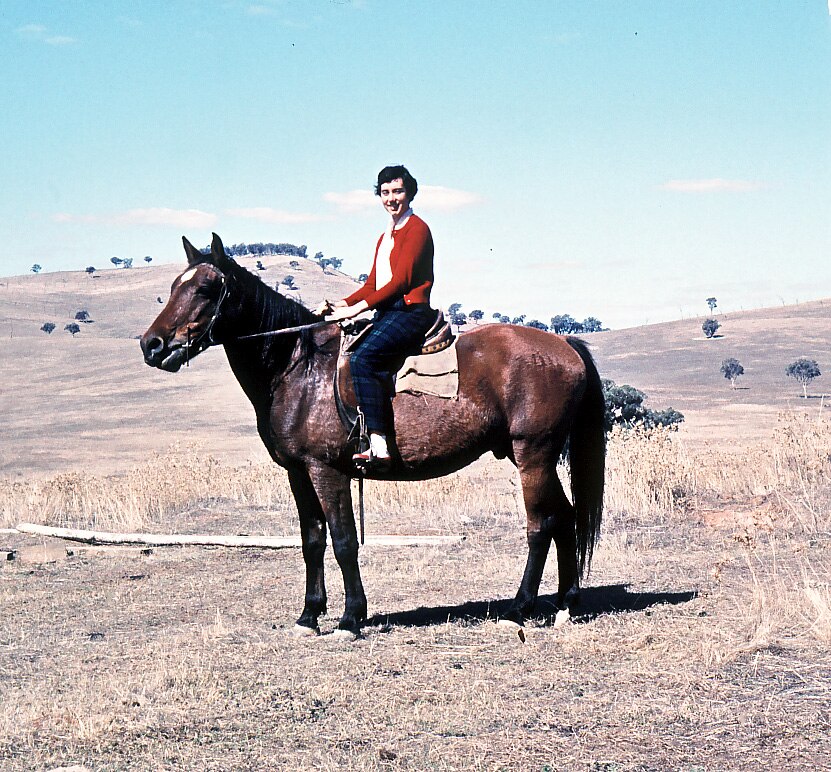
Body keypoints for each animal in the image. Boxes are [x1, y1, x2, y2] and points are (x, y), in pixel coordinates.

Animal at [140, 233, 606, 638]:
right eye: (174, 286)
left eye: (205, 288)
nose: (152, 345)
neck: (298, 366)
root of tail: (565, 345)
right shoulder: (298, 473)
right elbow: (312, 540)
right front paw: (309, 616)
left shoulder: (327, 471)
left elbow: (344, 541)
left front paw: (350, 618)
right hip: (531, 456)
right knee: (565, 517)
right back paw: (565, 605)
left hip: (533, 454)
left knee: (540, 525)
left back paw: (517, 610)